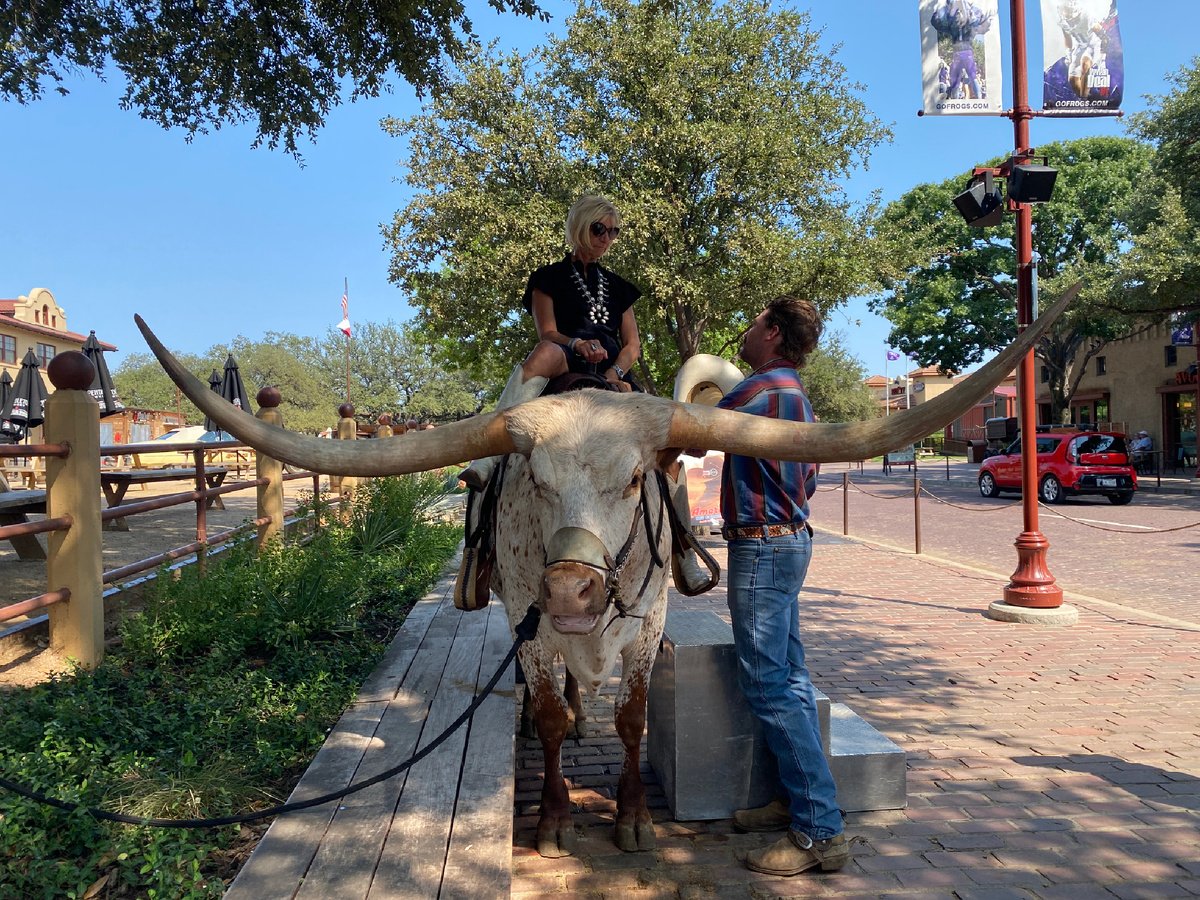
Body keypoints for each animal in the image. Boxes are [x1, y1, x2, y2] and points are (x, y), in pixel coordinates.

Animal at [133, 285, 1072, 859]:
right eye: (535, 482)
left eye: (631, 480)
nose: (571, 591)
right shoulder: (532, 626)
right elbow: (552, 718)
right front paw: (553, 819)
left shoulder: (646, 625)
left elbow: (632, 720)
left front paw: (631, 820)